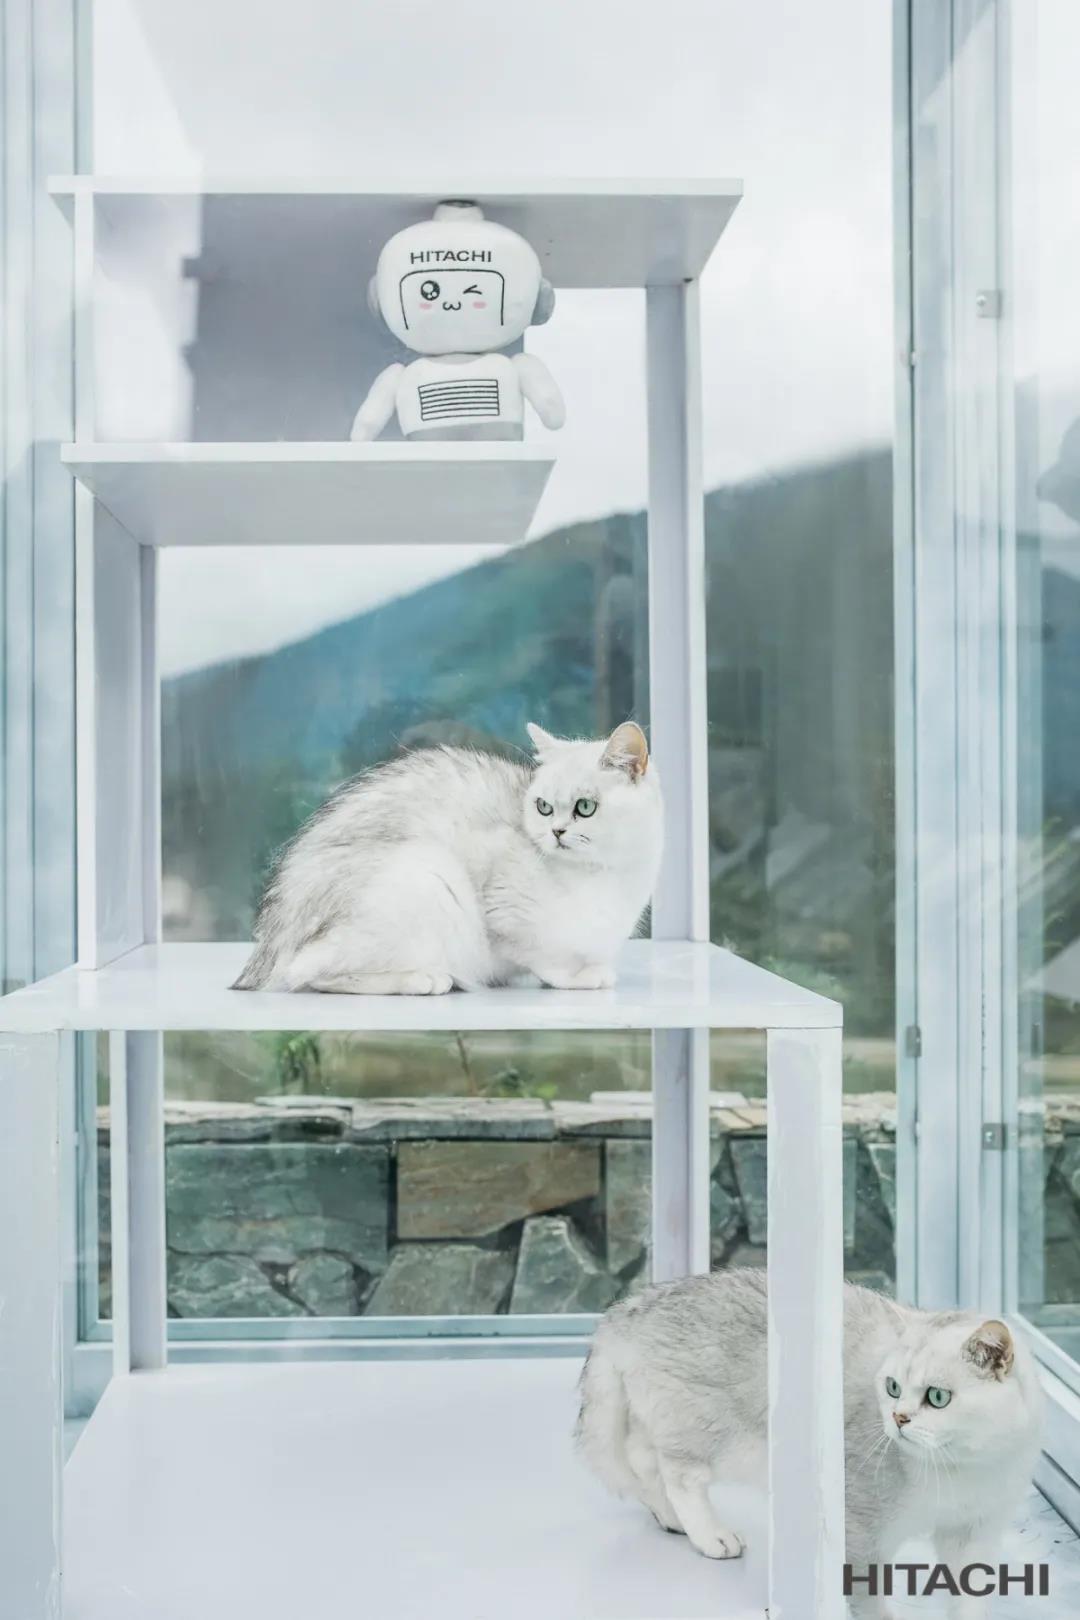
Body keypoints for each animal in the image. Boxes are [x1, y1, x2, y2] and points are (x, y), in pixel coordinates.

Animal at [232, 721, 663, 995]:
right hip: (429, 878)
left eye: (585, 807)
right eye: (543, 807)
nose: (555, 832)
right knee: (307, 971)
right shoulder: (504, 913)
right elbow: (543, 957)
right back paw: (423, 979)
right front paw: (578, 977)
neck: (608, 876)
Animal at [576, 1269, 1043, 1619]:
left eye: (938, 1397)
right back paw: (710, 1534)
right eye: (892, 1387)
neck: (962, 1469)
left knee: (642, 1462)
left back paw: (671, 1519)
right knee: (676, 1474)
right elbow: (868, 1599)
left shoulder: (974, 1534)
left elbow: (969, 1600)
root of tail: (630, 1308)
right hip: (708, 1430)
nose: (897, 1418)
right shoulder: (860, 1530)